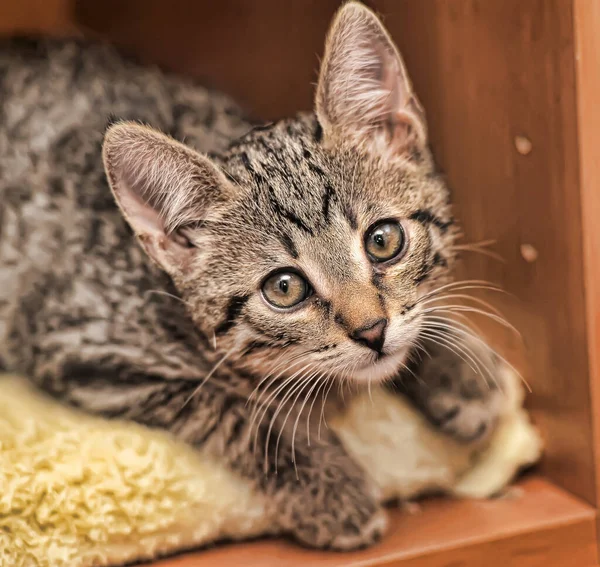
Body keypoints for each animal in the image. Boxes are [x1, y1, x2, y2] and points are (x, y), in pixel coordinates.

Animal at [2, 0, 504, 552]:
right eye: (284, 289)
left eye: (383, 240)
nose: (372, 331)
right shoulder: (88, 351)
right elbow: (240, 411)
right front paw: (331, 488)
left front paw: (461, 367)